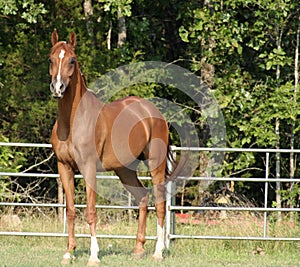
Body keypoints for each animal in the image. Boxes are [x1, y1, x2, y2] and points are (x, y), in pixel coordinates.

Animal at [49, 29, 171, 266]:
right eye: (51, 59)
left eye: (72, 60)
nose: (57, 88)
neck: (73, 120)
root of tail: (154, 112)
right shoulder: (64, 167)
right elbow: (71, 210)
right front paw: (69, 252)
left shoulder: (88, 168)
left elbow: (90, 211)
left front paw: (94, 256)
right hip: (125, 170)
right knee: (143, 197)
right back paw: (138, 249)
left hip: (156, 165)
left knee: (160, 203)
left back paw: (158, 252)